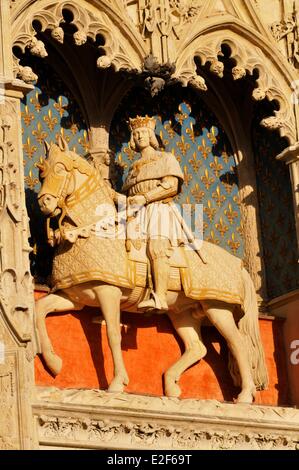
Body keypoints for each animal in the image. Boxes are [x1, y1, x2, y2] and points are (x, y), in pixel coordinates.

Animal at [35, 137, 270, 404]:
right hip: (182, 313)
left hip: (217, 307)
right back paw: (171, 385)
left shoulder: (109, 292)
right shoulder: (74, 297)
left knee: (238, 344)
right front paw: (53, 362)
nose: (44, 202)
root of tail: (239, 264)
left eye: (60, 168)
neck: (91, 231)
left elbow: (113, 334)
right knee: (197, 347)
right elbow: (39, 309)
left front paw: (117, 383)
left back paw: (244, 394)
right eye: (41, 172)